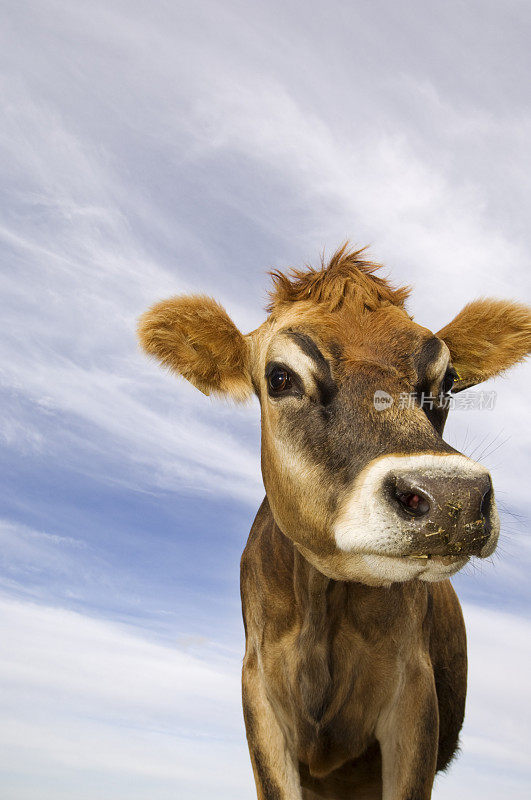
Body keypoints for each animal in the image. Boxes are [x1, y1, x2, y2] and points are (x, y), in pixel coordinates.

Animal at [138, 245, 531, 800]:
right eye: (280, 377)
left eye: (449, 382)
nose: (453, 496)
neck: (321, 607)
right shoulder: (260, 699)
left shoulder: (415, 702)